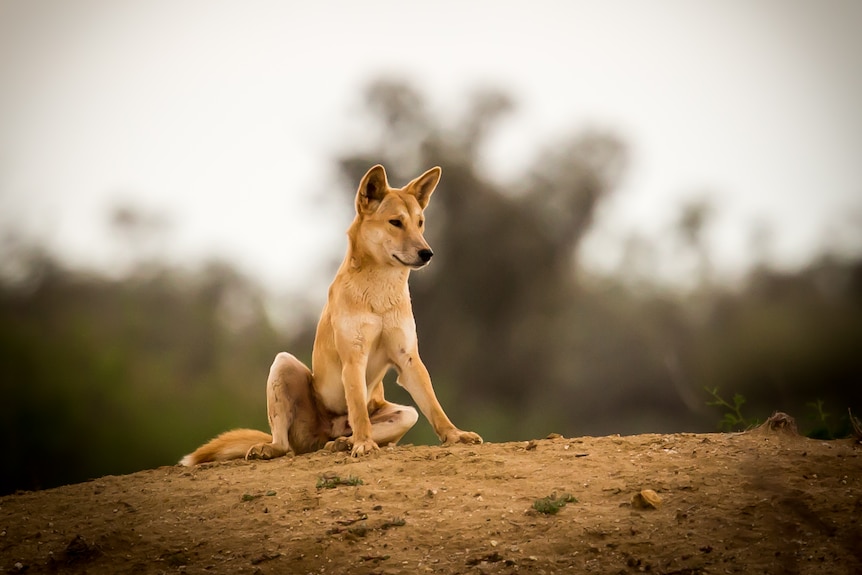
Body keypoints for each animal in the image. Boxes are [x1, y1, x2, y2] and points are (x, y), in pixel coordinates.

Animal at [182, 164, 482, 466]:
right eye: (395, 222)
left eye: (420, 223)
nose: (427, 253)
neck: (379, 294)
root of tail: (327, 431)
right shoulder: (354, 357)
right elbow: (359, 409)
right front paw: (363, 444)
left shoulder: (408, 358)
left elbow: (434, 407)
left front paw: (455, 435)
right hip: (283, 365)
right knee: (284, 443)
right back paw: (279, 447)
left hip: (406, 414)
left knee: (365, 430)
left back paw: (343, 443)